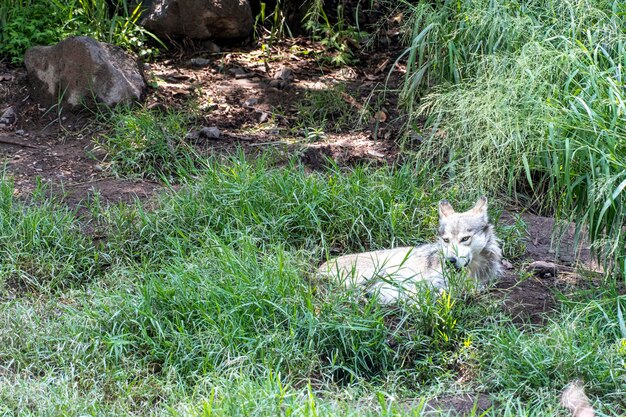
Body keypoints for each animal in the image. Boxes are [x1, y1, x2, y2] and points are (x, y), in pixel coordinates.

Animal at [316, 195, 502, 302]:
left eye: (465, 239)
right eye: (446, 240)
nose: (450, 261)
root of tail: (318, 269)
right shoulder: (426, 281)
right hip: (376, 270)